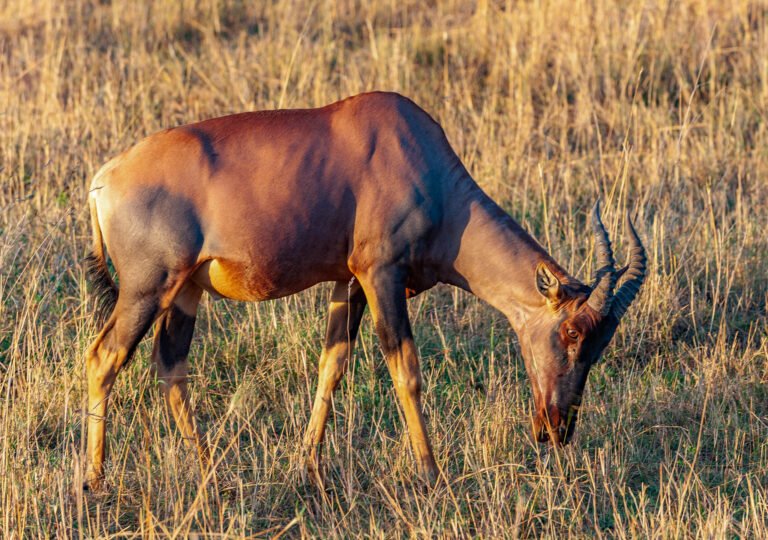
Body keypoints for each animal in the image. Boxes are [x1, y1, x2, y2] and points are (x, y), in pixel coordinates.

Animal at [84, 92, 644, 490]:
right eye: (570, 333)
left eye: (600, 344)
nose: (555, 429)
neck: (419, 158)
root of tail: (103, 178)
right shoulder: (381, 275)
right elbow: (406, 370)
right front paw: (431, 474)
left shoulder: (348, 282)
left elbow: (331, 365)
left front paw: (309, 468)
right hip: (147, 287)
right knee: (103, 356)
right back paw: (95, 481)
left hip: (185, 291)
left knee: (169, 366)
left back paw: (211, 473)